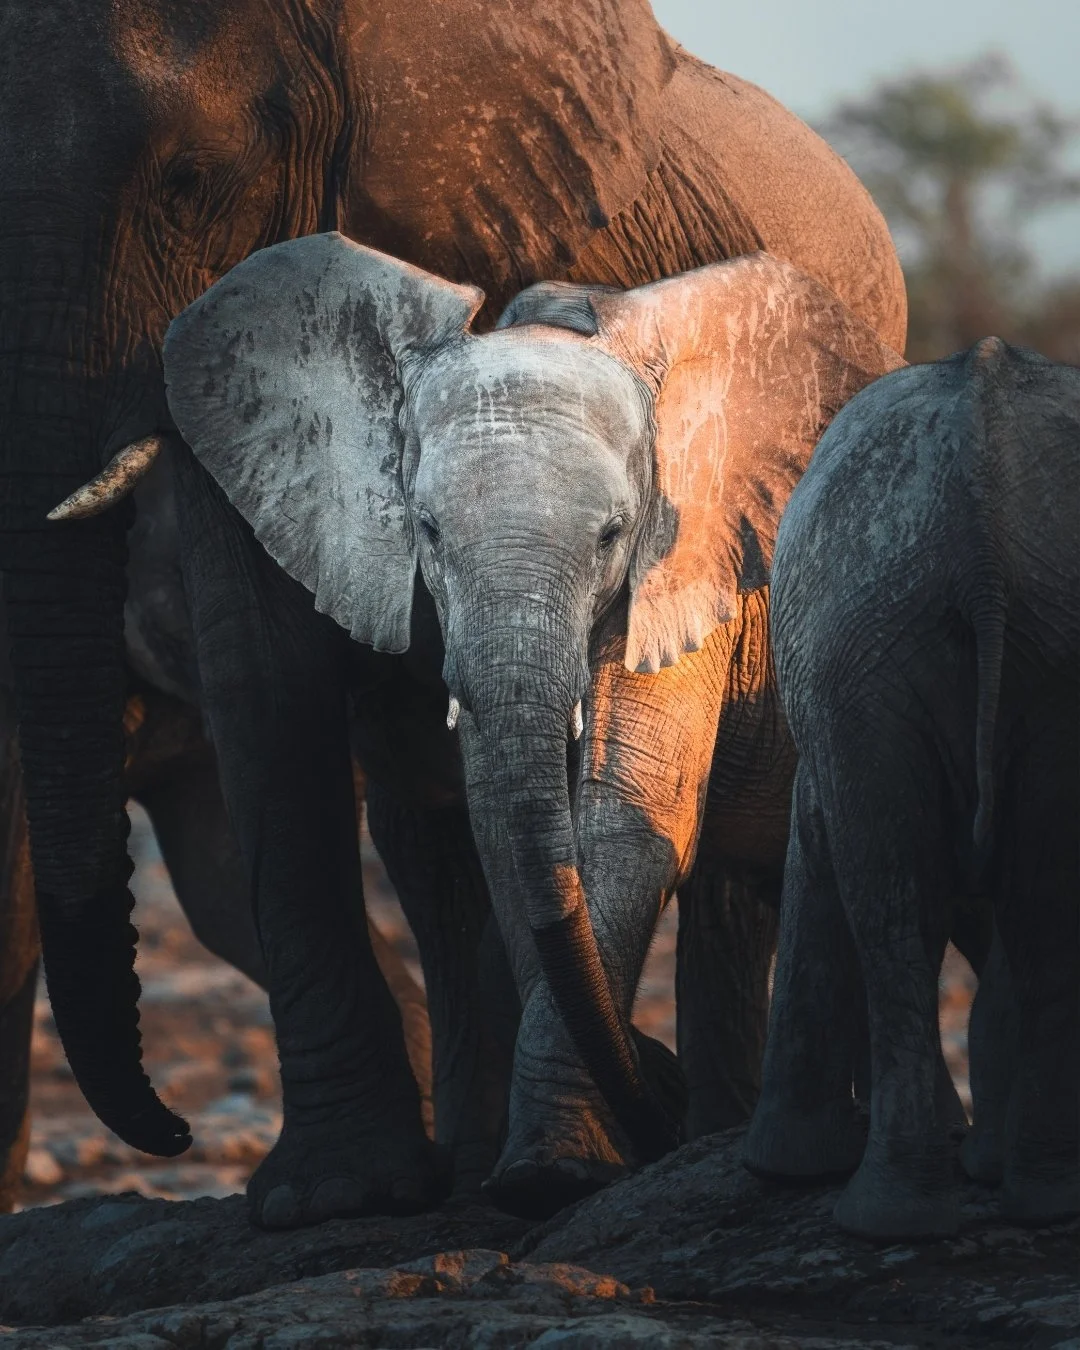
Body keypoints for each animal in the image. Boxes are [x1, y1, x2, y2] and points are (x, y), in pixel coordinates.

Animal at [161, 234, 905, 1218]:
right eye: (427, 531)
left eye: (613, 535)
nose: (654, 1091)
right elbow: (503, 829)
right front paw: (564, 1160)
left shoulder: (684, 564)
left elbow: (625, 822)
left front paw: (559, 1171)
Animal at [743, 339, 1079, 1239]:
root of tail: (984, 524)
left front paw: (779, 1172)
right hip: (904, 642)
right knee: (997, 902)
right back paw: (1015, 1207)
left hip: (872, 641)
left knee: (904, 906)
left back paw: (891, 1217)